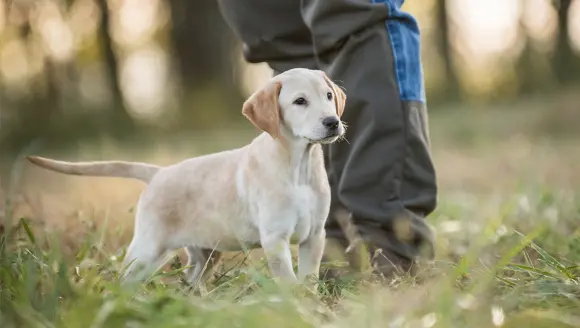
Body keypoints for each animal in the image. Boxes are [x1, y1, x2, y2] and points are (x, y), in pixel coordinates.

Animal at [26, 68, 344, 286]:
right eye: (300, 101)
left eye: (328, 96)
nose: (333, 121)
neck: (299, 166)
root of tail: (158, 173)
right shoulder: (275, 239)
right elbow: (289, 282)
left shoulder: (315, 236)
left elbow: (309, 279)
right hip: (147, 248)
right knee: (124, 280)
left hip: (205, 252)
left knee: (190, 283)